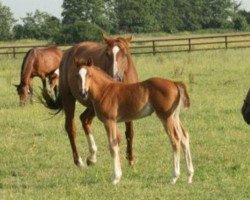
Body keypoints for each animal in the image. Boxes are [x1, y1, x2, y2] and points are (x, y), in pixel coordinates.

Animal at [41, 34, 139, 169]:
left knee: (84, 119)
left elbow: (129, 132)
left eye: (125, 53)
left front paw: (131, 159)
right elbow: (116, 136)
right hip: (69, 99)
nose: (114, 77)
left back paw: (92, 157)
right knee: (71, 127)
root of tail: (68, 52)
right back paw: (79, 161)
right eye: (107, 53)